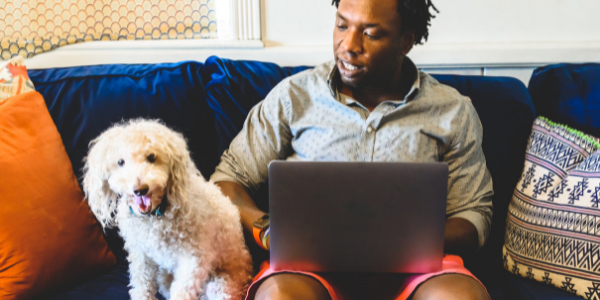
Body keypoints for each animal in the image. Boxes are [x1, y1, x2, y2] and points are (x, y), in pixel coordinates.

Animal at [82, 119, 251, 300]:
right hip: (165, 278)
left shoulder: (195, 258)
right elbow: (142, 283)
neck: (155, 216)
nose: (140, 189)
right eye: (120, 162)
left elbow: (182, 290)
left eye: (151, 157)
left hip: (221, 285)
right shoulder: (141, 254)